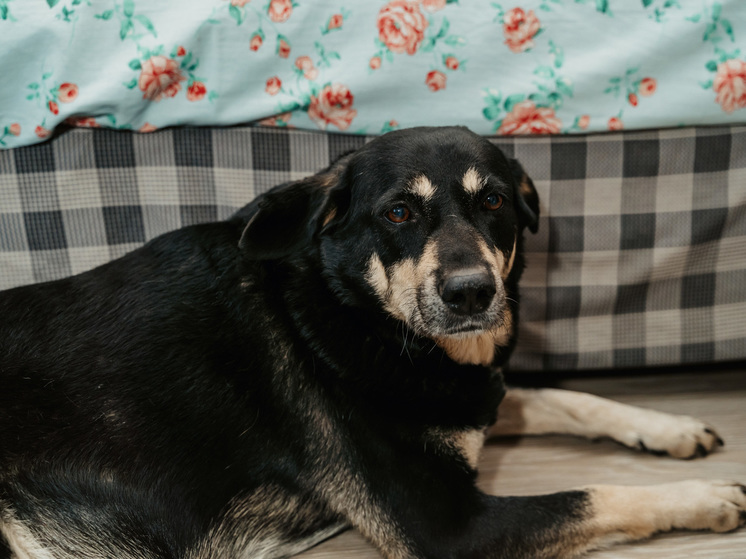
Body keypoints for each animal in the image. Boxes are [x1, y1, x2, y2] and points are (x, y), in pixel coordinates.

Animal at [0, 127, 740, 559]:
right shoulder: (449, 527)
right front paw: (707, 496)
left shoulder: (470, 394)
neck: (355, 311)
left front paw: (669, 428)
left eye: (494, 201)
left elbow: (569, 397)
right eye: (399, 212)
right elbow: (597, 494)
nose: (472, 294)